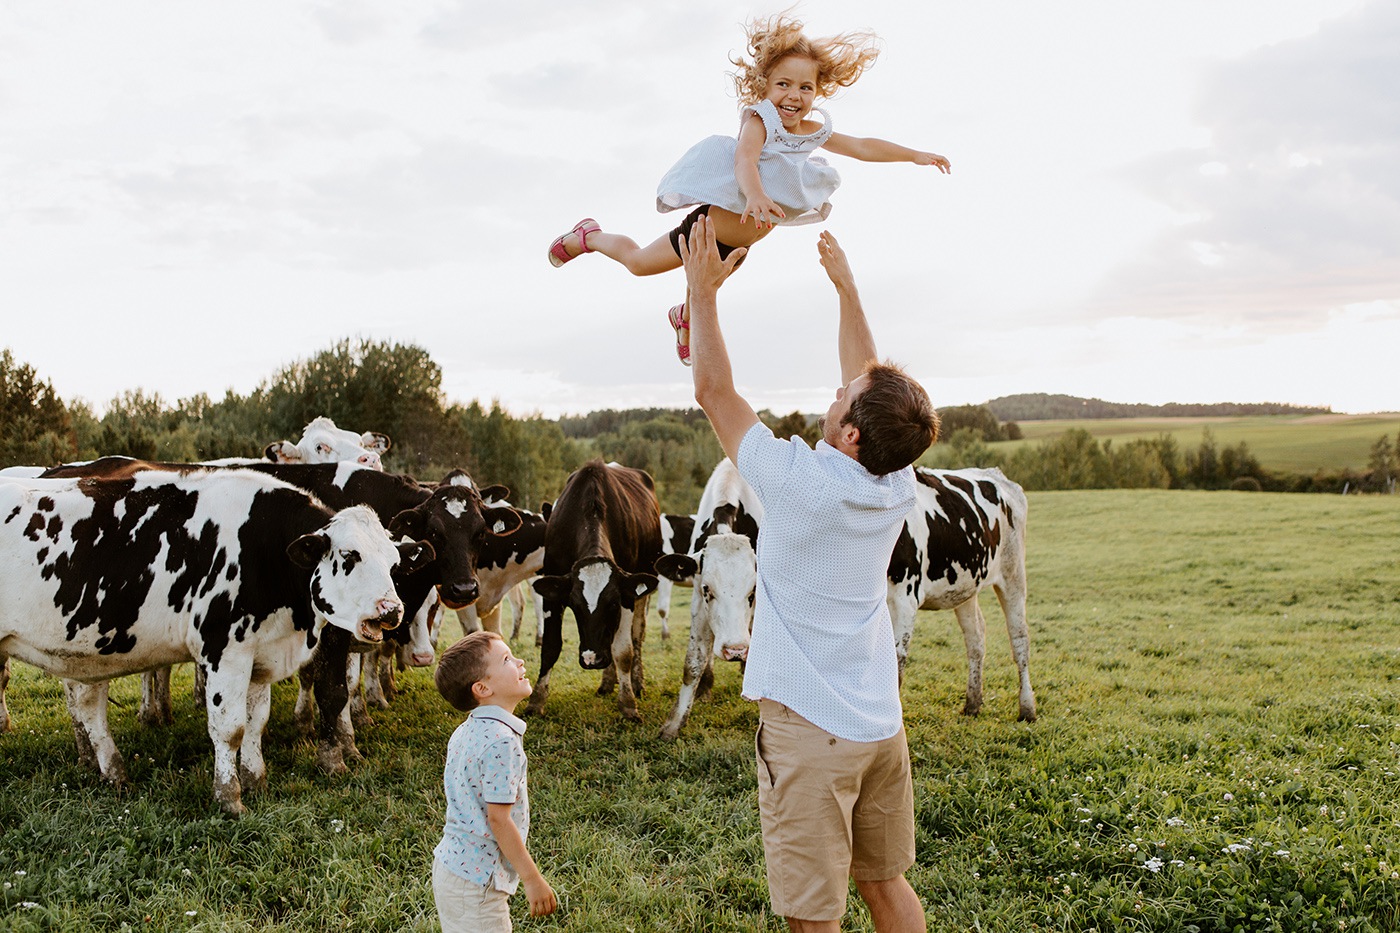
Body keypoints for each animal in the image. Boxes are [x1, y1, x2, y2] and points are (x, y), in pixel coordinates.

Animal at [0, 467, 431, 812]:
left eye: (394, 562)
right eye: (349, 555)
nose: (391, 610)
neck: (263, 547)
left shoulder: (260, 653)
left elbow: (256, 723)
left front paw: (256, 780)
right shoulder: (226, 650)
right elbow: (230, 728)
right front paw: (229, 798)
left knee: (88, 707)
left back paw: (113, 770)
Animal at [658, 453, 767, 739]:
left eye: (753, 591)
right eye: (708, 589)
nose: (735, 649)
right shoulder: (697, 598)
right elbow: (693, 662)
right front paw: (674, 724)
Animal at [890, 465, 1036, 717]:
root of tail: (995, 473)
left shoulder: (905, 598)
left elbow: (895, 662)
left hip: (1013, 573)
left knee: (1019, 638)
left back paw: (1027, 708)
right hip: (966, 585)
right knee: (976, 637)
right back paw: (973, 703)